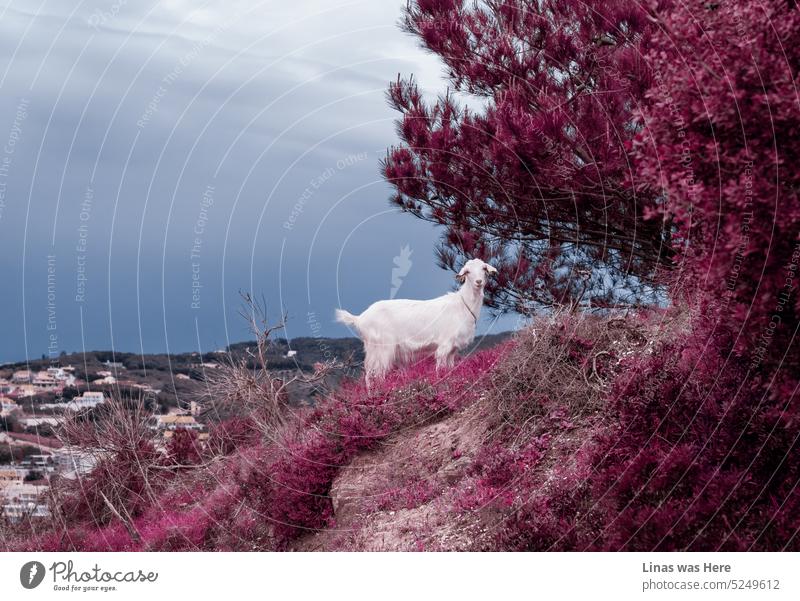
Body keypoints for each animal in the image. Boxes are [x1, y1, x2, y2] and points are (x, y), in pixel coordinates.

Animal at [336, 256, 496, 384]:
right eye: (467, 271)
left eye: (484, 268)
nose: (478, 281)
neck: (463, 305)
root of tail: (360, 318)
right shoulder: (444, 346)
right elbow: (440, 369)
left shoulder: (452, 350)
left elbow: (450, 369)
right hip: (383, 348)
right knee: (378, 374)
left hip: (373, 349)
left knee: (369, 374)